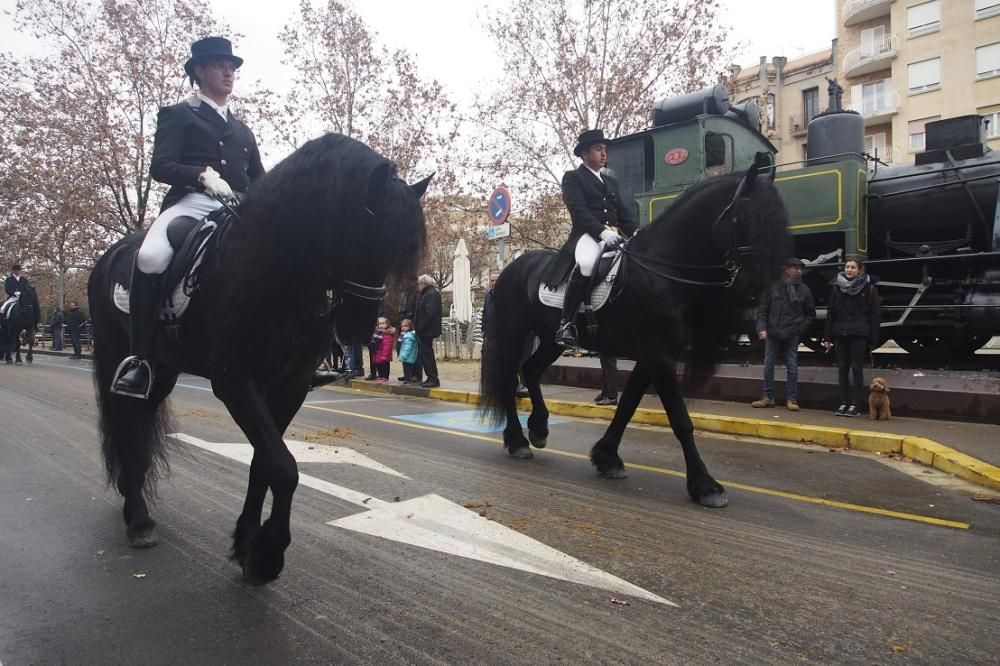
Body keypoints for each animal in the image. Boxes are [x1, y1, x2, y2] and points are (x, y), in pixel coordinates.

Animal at [88, 135, 428, 580]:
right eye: (360, 234)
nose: (357, 330)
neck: (273, 271)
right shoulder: (235, 382)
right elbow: (283, 468)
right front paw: (269, 552)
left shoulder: (290, 386)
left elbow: (264, 463)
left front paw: (249, 543)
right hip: (120, 355)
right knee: (128, 428)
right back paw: (139, 519)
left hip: (162, 370)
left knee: (140, 427)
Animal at [476, 158, 788, 506]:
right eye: (745, 215)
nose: (754, 288)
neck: (663, 269)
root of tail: (507, 271)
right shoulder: (659, 355)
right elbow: (680, 419)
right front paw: (705, 484)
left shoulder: (653, 356)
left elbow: (627, 405)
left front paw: (607, 457)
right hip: (514, 333)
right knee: (509, 379)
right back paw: (517, 440)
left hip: (551, 339)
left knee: (529, 369)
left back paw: (539, 429)